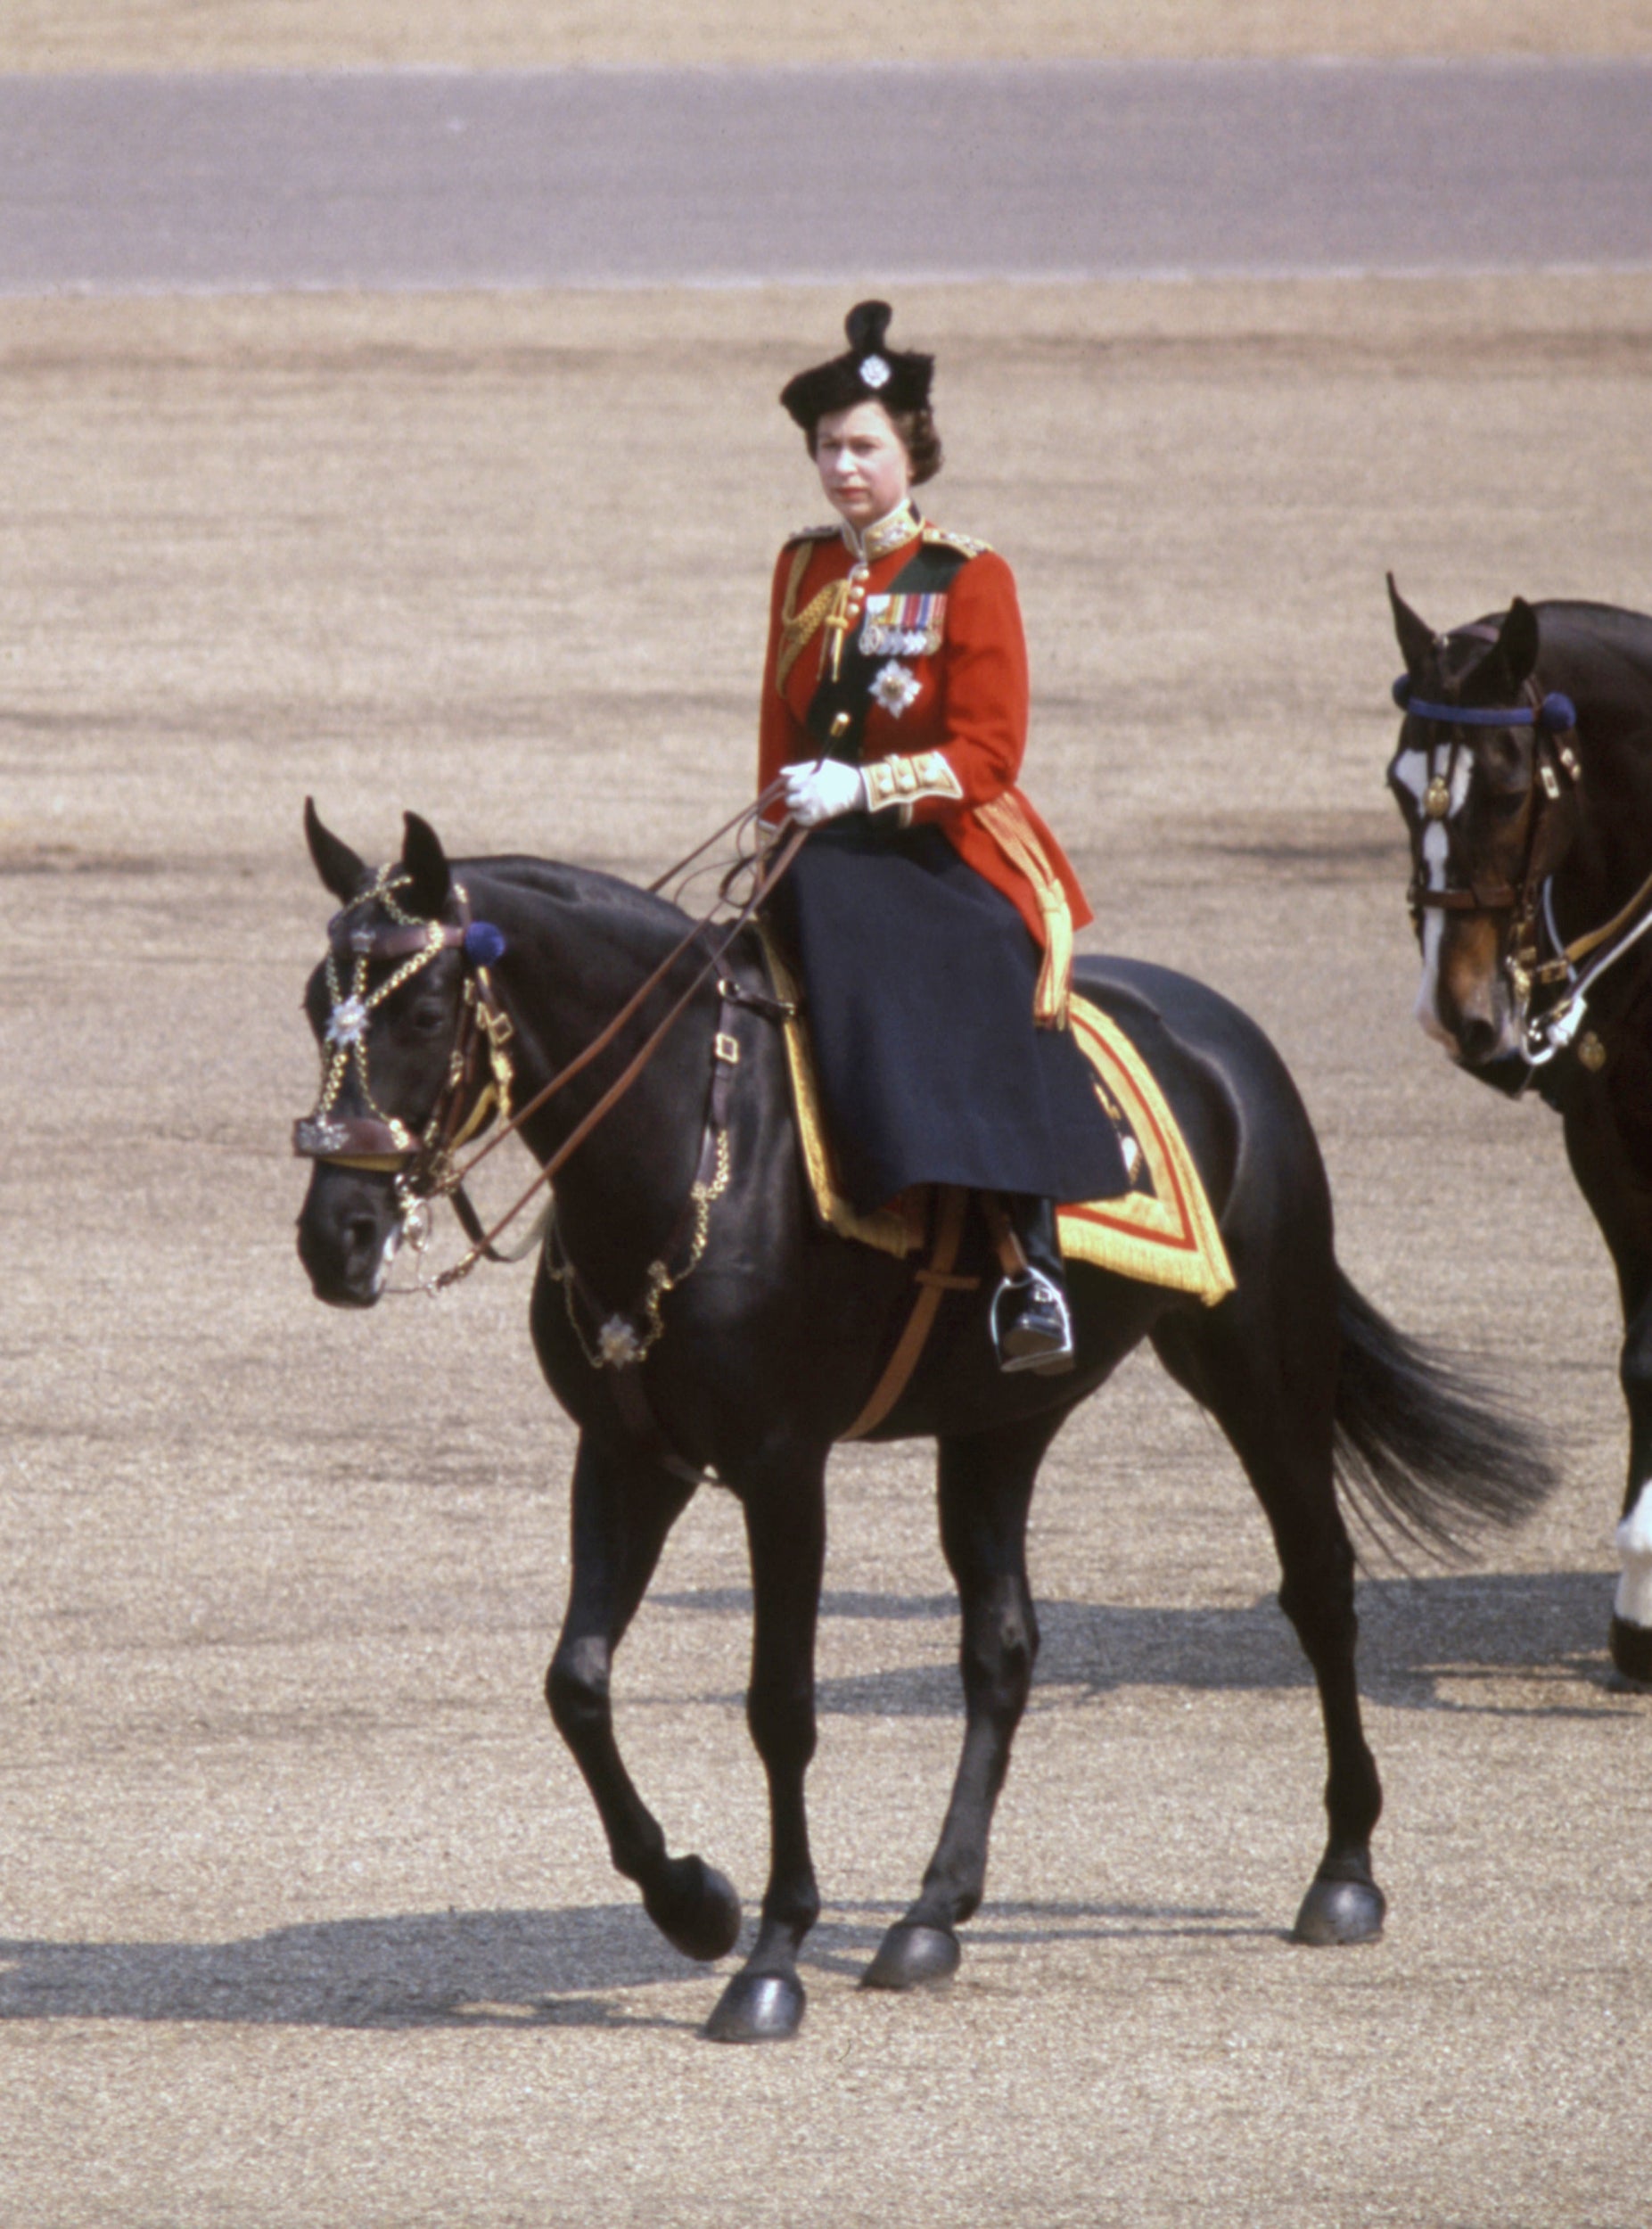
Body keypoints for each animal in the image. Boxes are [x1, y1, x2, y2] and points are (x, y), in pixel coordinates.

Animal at [294, 802, 1542, 2042]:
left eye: (420, 1011)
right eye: (315, 1004)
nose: (333, 1239)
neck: (689, 1148)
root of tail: (1215, 1030)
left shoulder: (780, 1466)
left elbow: (779, 1706)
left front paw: (772, 1955)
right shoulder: (626, 1454)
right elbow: (578, 1682)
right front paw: (693, 1900)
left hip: (1257, 1357)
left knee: (1317, 1583)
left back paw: (1344, 1871)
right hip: (1001, 1421)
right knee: (1001, 1644)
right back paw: (931, 1913)